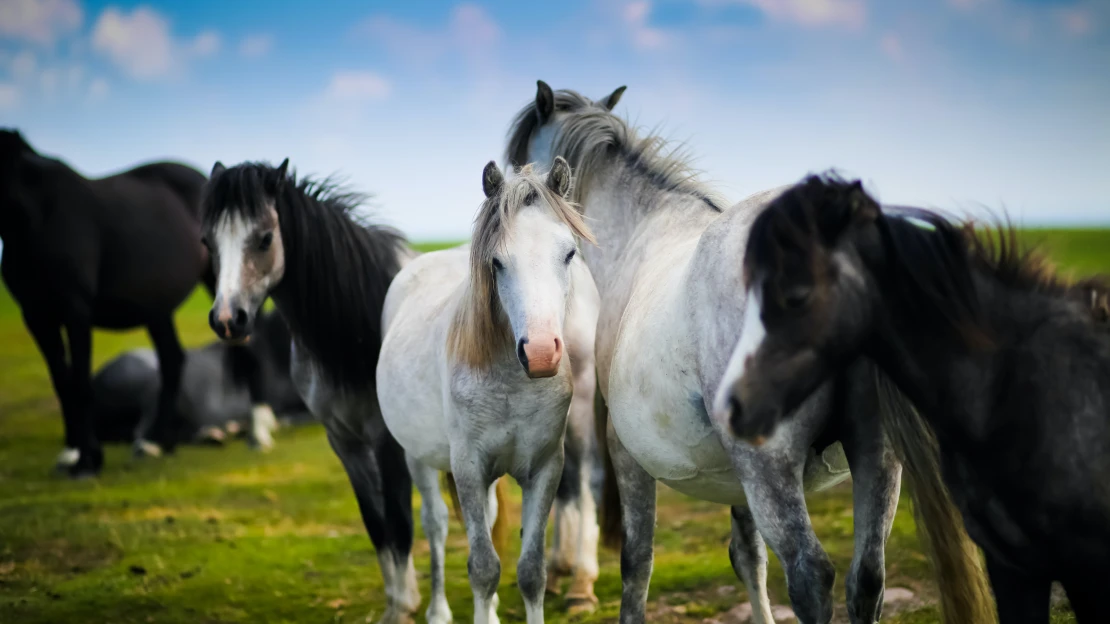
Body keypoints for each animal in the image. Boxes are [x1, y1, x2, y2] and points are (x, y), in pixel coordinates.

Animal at [0, 127, 210, 475]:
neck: (39, 217)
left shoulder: (76, 310)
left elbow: (81, 384)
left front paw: (87, 460)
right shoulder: (36, 314)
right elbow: (62, 383)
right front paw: (72, 453)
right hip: (156, 309)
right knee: (172, 360)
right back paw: (157, 442)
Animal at [199, 158, 428, 621]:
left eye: (265, 238)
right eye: (207, 241)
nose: (228, 320)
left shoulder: (386, 443)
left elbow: (399, 523)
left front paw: (401, 609)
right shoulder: (344, 442)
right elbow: (377, 524)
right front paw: (402, 599)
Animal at [375, 158, 599, 621]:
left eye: (569, 253)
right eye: (497, 262)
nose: (540, 353)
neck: (512, 384)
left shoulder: (544, 468)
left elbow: (531, 570)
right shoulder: (468, 468)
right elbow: (482, 567)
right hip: (417, 458)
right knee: (437, 525)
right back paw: (438, 611)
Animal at [503, 82, 981, 621]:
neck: (643, 232)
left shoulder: (628, 454)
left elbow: (636, 564)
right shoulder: (736, 479)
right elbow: (748, 557)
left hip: (770, 467)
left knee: (811, 575)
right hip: (874, 458)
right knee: (866, 579)